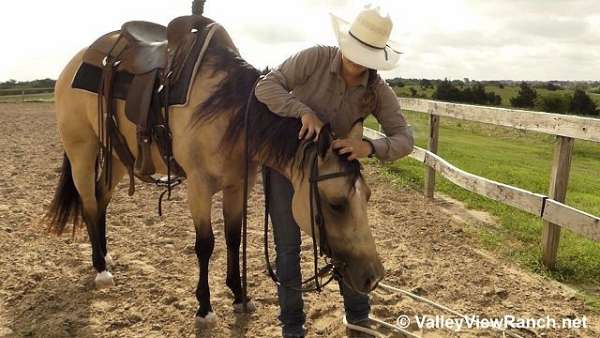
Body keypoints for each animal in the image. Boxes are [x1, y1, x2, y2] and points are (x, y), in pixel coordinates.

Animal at [45, 15, 384, 324]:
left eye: (367, 197)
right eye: (336, 204)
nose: (374, 276)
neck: (229, 112)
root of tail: (75, 64)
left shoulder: (237, 185)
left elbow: (233, 237)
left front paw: (239, 294)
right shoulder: (199, 187)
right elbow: (205, 244)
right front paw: (205, 307)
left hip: (116, 155)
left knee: (101, 198)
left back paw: (105, 256)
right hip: (82, 150)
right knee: (89, 203)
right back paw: (101, 270)